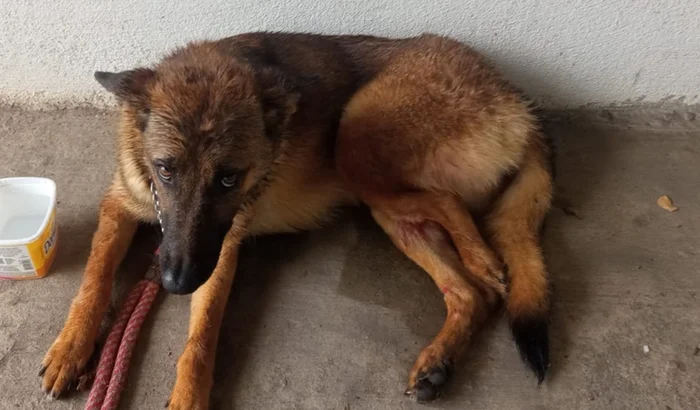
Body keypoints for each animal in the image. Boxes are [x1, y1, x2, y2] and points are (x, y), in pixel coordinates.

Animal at [40, 32, 554, 408]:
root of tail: (517, 100)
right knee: (470, 292)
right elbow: (94, 280)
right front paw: (70, 348)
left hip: (355, 142)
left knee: (449, 202)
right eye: (165, 169)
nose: (176, 282)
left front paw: (187, 397)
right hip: (391, 211)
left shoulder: (221, 249)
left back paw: (484, 260)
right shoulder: (120, 206)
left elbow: (201, 335)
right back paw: (440, 356)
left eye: (228, 179)